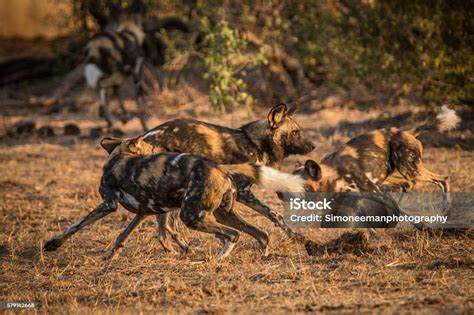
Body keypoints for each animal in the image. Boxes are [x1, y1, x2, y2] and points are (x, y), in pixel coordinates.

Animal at [43, 136, 304, 262]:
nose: (164, 150)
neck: (118, 157)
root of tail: (218, 167)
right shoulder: (145, 212)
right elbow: (122, 236)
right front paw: (109, 256)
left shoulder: (108, 205)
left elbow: (75, 225)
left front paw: (53, 244)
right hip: (222, 214)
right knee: (261, 233)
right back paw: (263, 255)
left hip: (193, 216)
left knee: (232, 235)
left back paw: (216, 261)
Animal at [83, 0, 149, 131]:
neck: (129, 31)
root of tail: (96, 47)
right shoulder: (136, 72)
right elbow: (138, 98)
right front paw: (143, 123)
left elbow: (118, 94)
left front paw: (123, 115)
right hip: (115, 72)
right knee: (103, 88)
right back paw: (109, 115)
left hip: (109, 73)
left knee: (103, 92)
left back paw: (109, 119)